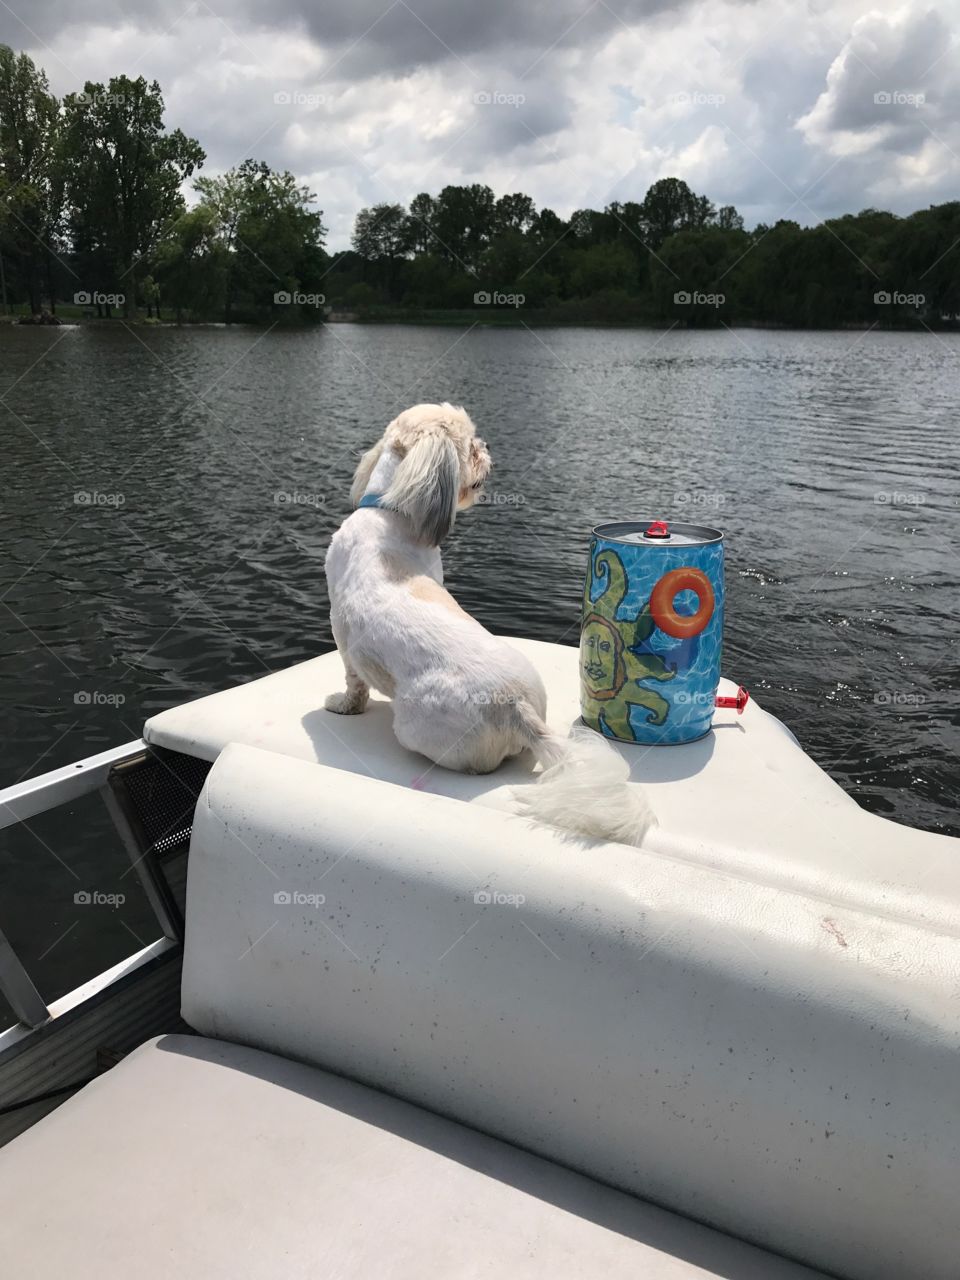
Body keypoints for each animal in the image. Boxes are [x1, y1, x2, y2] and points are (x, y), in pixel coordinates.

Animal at [327, 399, 660, 839]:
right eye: (470, 447)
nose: (486, 447)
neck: (391, 513)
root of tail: (513, 706)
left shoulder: (340, 626)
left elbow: (354, 681)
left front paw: (344, 705)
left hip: (415, 728)